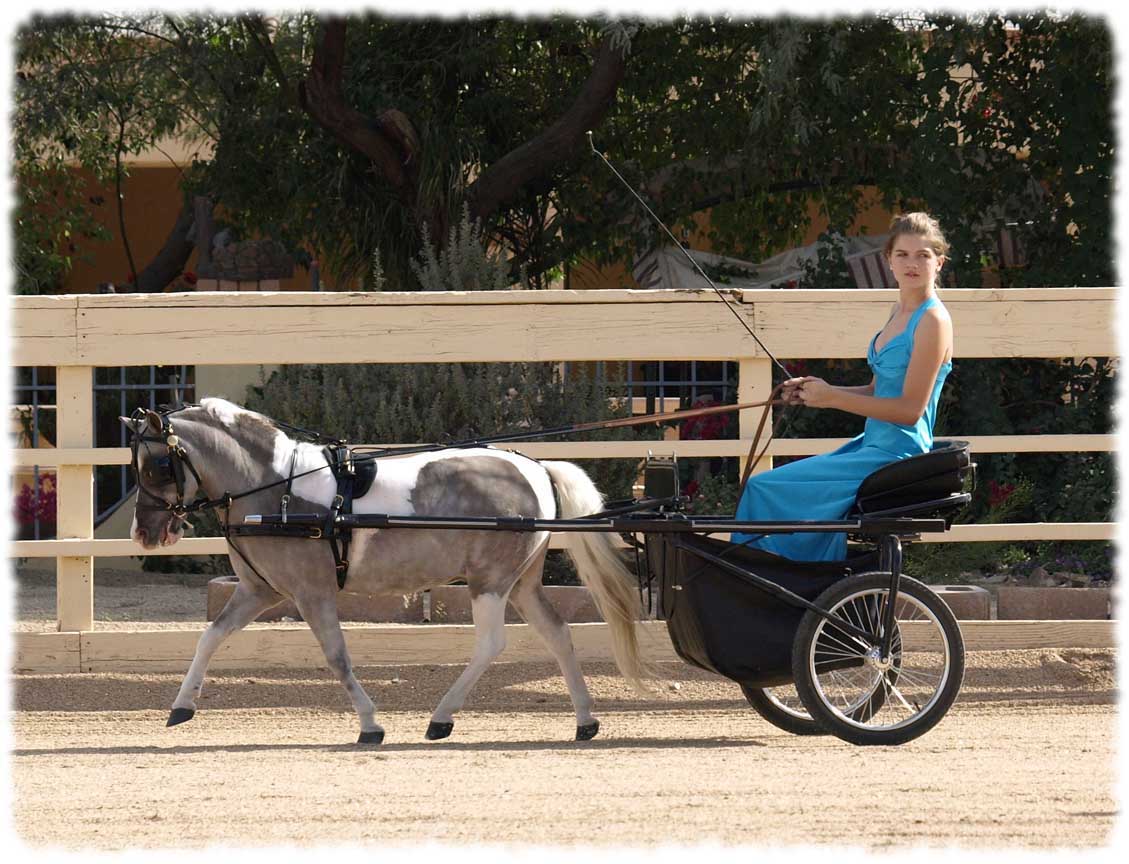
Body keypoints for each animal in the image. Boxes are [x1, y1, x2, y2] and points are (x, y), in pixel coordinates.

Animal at [122, 397, 650, 744]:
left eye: (156, 467)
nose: (145, 533)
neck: (275, 488)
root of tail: (536, 468)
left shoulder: (312, 593)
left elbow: (337, 658)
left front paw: (370, 725)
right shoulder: (259, 591)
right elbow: (210, 636)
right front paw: (182, 706)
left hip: (490, 582)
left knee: (492, 644)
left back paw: (441, 717)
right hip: (520, 582)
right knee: (557, 632)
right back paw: (584, 721)